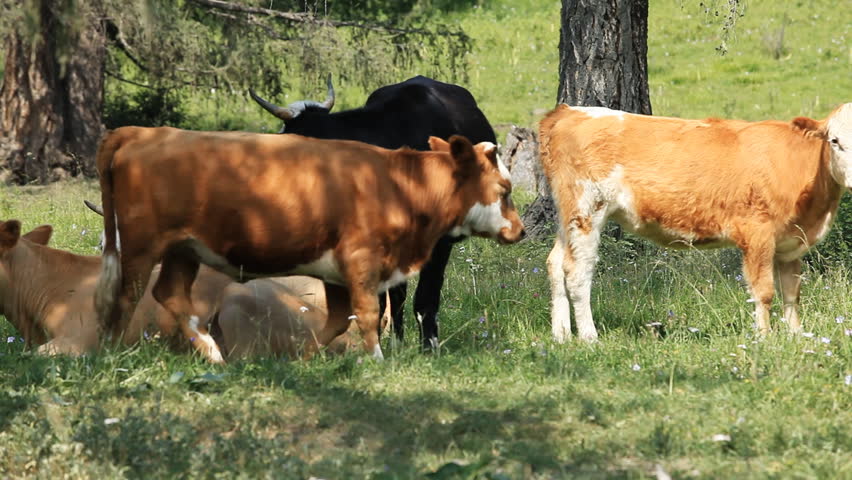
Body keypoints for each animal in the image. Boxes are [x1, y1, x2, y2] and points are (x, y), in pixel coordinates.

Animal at [94, 128, 525, 364]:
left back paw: (213, 354)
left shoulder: (335, 272)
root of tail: (142, 131)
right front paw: (377, 360)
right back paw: (111, 352)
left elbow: (336, 321)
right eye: (504, 189)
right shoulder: (361, 261)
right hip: (141, 245)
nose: (520, 231)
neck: (398, 185)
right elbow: (367, 314)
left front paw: (305, 360)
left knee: (169, 294)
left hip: (184, 249)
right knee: (126, 297)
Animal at [539, 103, 851, 341]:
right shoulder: (757, 233)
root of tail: (567, 111)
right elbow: (763, 292)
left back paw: (561, 335)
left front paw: (797, 337)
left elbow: (792, 292)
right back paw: (589, 337)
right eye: (834, 141)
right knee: (577, 272)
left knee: (554, 263)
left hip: (567, 216)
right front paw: (765, 339)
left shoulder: (791, 242)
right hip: (586, 210)